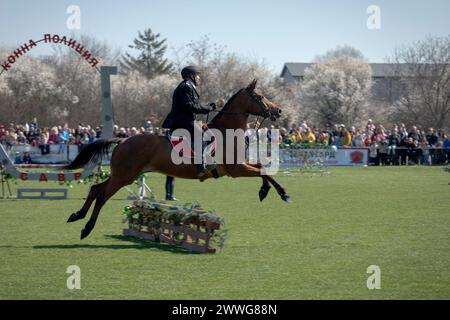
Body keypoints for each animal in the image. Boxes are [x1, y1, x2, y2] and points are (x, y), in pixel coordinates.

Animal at [67, 80, 292, 240]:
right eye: (260, 96)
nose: (279, 110)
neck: (227, 131)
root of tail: (123, 139)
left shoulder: (240, 167)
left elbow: (262, 167)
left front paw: (265, 191)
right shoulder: (236, 170)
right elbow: (264, 171)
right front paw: (282, 193)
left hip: (124, 175)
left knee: (95, 189)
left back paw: (77, 215)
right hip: (124, 176)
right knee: (102, 196)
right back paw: (86, 228)